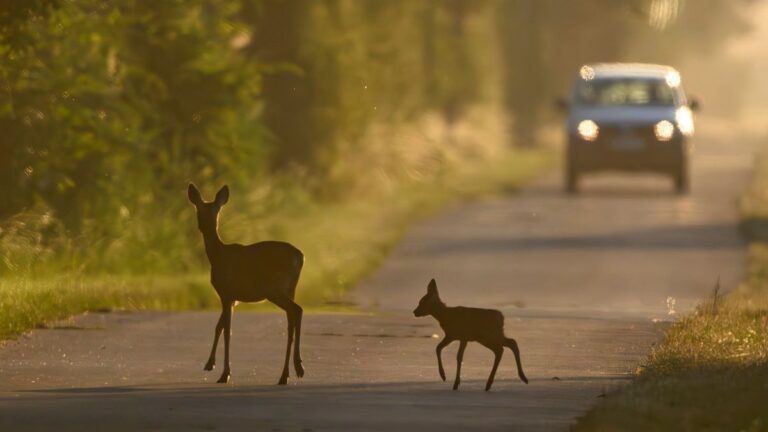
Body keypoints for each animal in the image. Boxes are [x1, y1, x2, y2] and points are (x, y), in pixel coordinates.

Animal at [187, 183, 305, 385]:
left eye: (214, 211)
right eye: (200, 210)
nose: (204, 226)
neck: (217, 255)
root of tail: (300, 256)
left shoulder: (226, 292)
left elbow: (227, 331)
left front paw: (225, 373)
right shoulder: (233, 298)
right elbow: (219, 327)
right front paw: (210, 364)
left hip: (275, 289)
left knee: (297, 311)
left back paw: (295, 369)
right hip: (290, 289)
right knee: (292, 320)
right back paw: (288, 373)